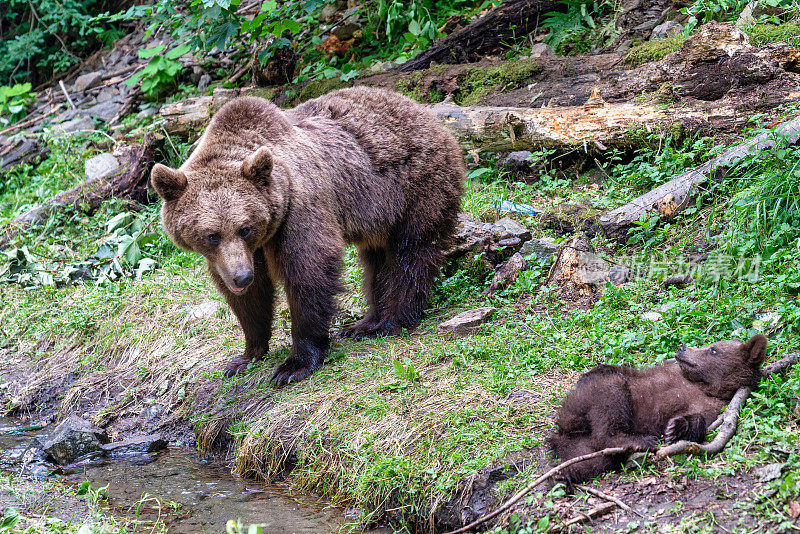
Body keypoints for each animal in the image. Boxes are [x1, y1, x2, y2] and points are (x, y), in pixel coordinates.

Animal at [152, 90, 462, 388]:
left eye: (245, 228)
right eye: (212, 235)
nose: (241, 276)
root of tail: (426, 112)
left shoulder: (300, 207)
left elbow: (308, 271)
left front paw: (294, 365)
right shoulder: (240, 253)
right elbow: (251, 296)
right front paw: (245, 355)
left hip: (414, 187)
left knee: (411, 253)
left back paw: (392, 321)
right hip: (379, 215)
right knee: (377, 262)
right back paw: (364, 324)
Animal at [552, 338, 768, 488]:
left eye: (713, 350)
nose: (682, 348)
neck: (703, 386)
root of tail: (563, 434)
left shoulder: (713, 407)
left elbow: (699, 422)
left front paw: (676, 427)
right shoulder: (667, 371)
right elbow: (621, 370)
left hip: (581, 446)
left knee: (593, 460)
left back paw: (563, 476)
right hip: (578, 407)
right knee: (613, 388)